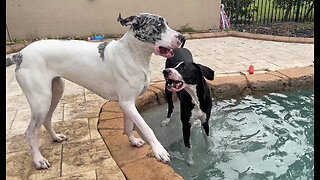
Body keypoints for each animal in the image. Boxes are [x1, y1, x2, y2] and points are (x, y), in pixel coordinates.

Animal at [6, 12, 184, 169]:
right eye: (159, 26)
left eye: (166, 23)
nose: (182, 38)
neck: (132, 54)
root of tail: (20, 54)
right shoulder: (127, 103)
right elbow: (146, 128)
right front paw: (159, 151)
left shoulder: (129, 103)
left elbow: (128, 125)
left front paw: (133, 141)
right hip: (41, 101)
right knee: (30, 132)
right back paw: (38, 160)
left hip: (55, 93)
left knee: (47, 119)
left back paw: (56, 137)